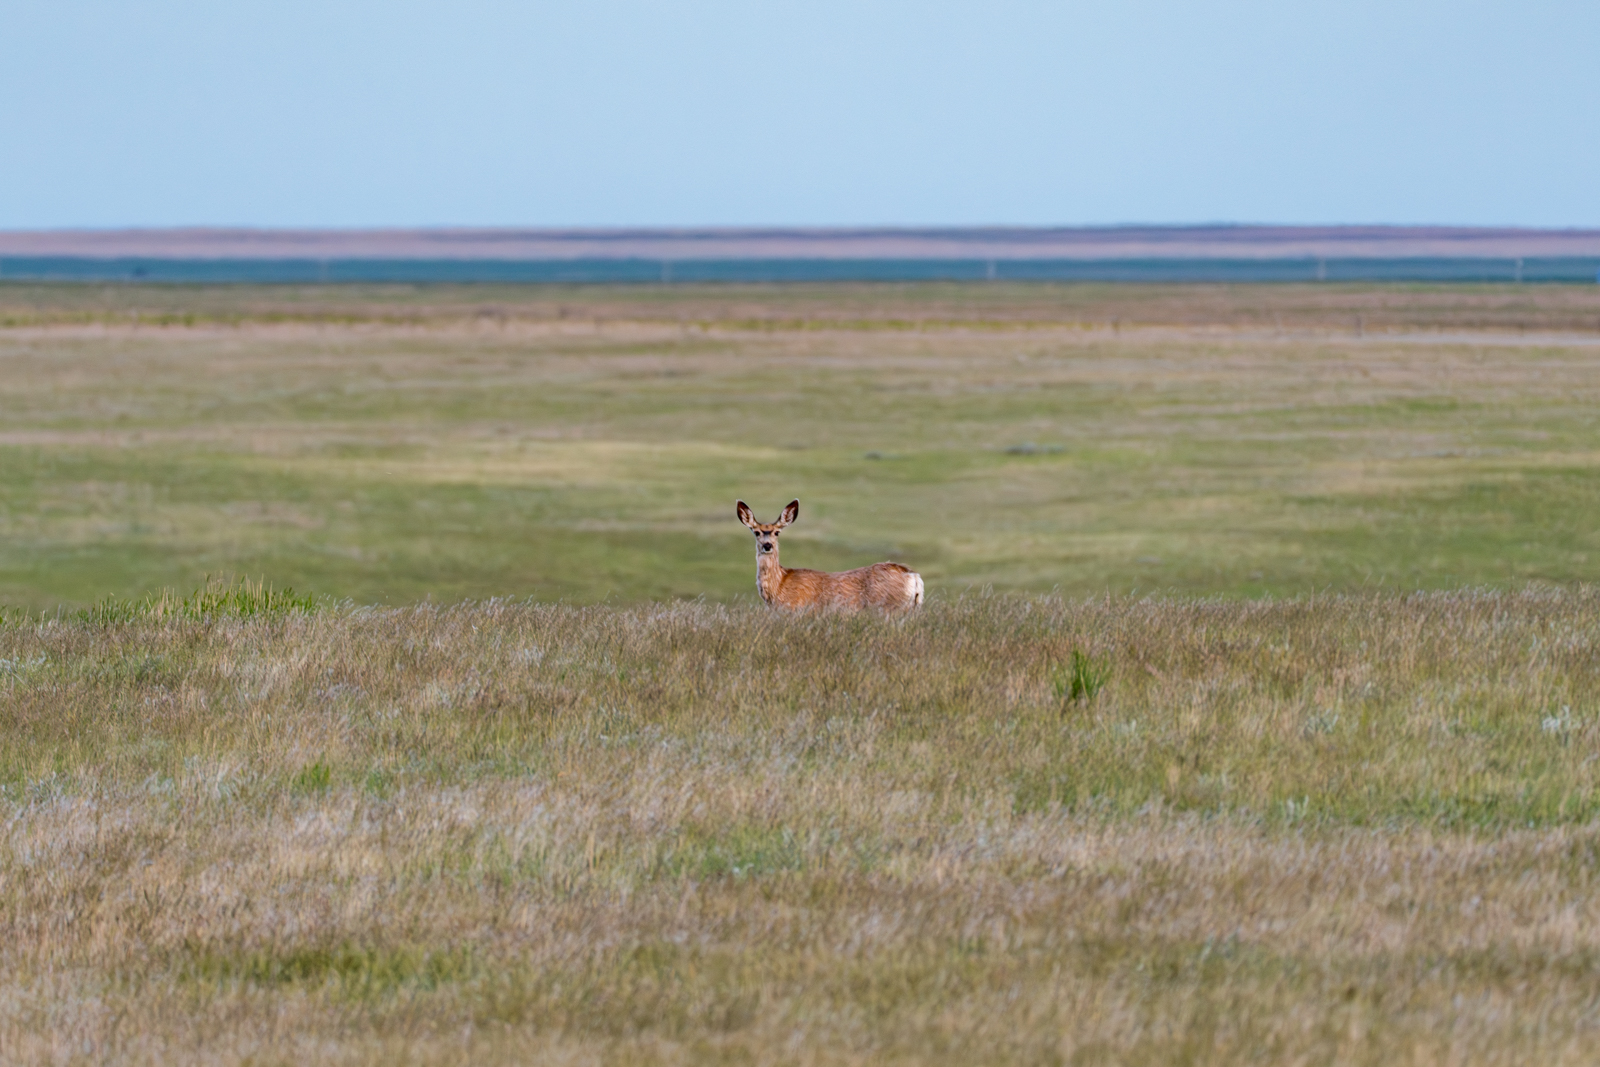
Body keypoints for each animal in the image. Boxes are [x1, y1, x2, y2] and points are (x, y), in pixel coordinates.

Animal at [736, 499, 924, 612]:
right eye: (756, 532)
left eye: (777, 532)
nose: (767, 545)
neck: (780, 584)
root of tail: (913, 576)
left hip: (890, 609)